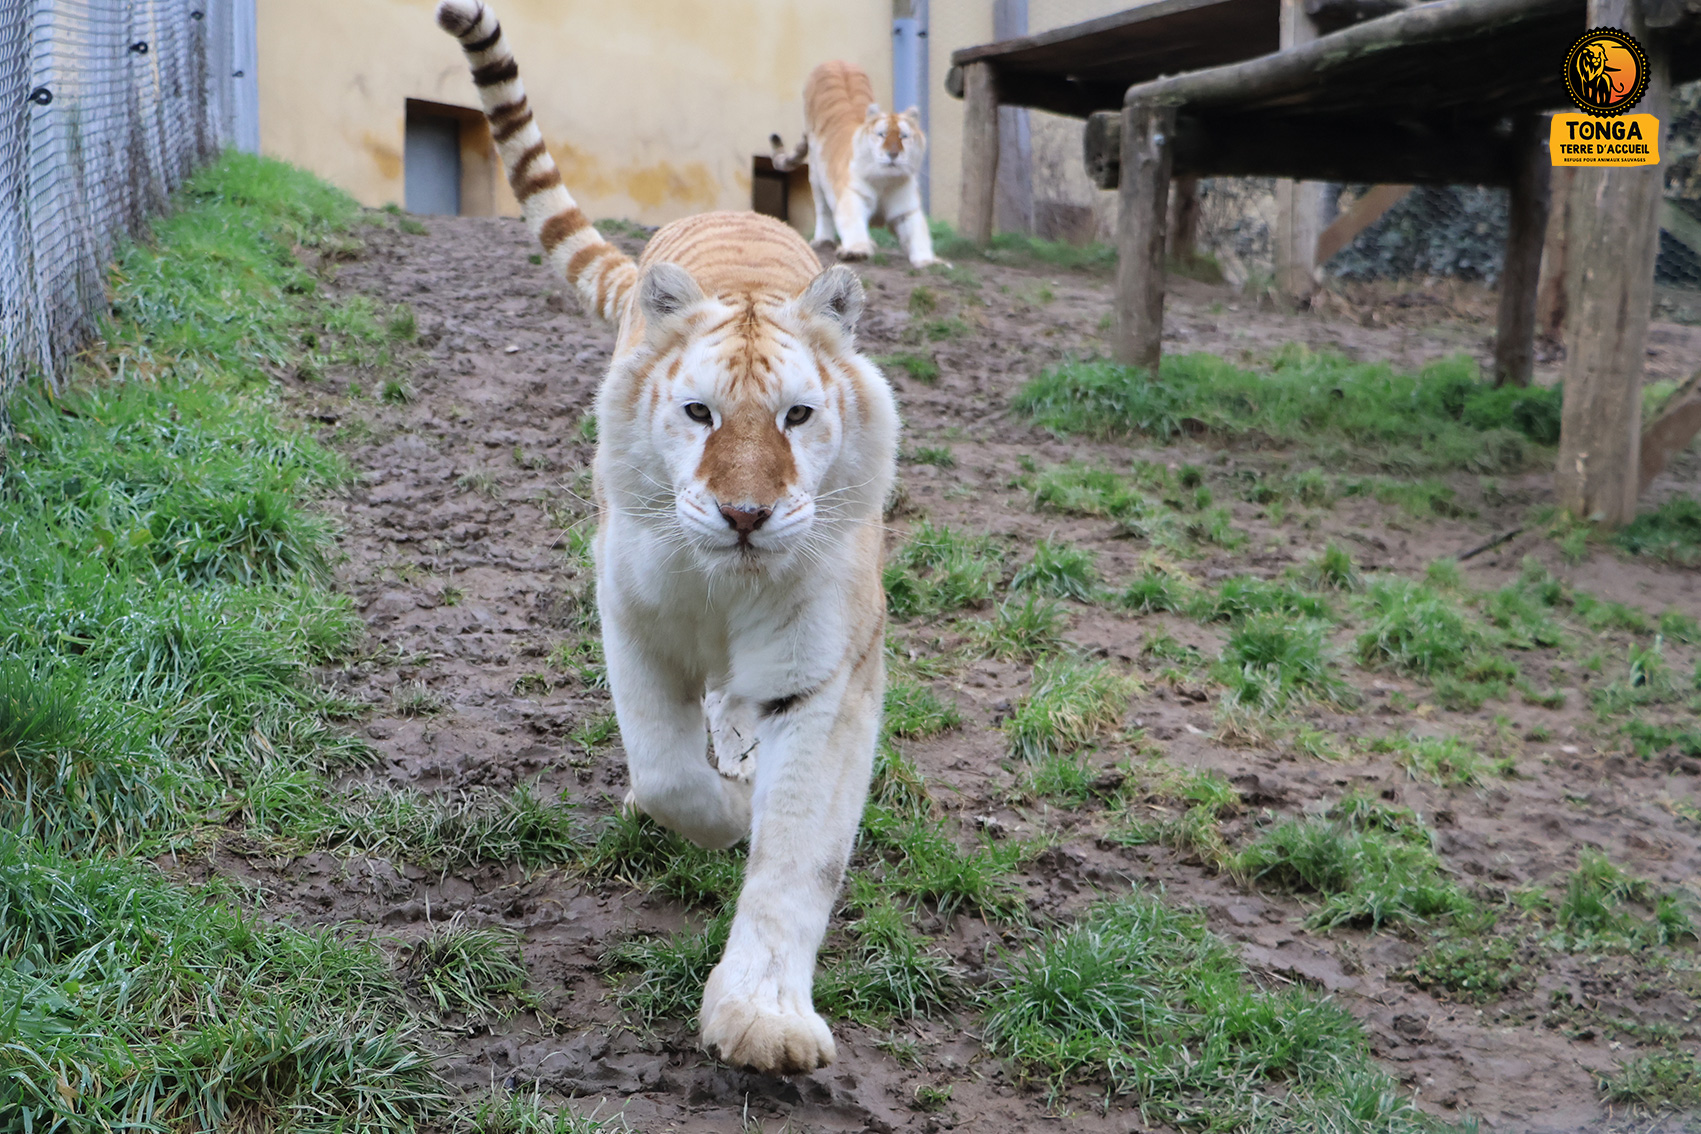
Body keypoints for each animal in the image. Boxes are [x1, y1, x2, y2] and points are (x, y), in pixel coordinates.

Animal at [436, 0, 899, 1078]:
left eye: (797, 417)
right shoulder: (632, 618)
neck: (731, 587)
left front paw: (763, 1021)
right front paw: (717, 815)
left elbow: (796, 858)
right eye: (698, 413)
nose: (745, 515)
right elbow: (669, 772)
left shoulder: (825, 676)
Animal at [770, 60, 938, 268]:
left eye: (903, 136)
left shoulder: (907, 209)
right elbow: (854, 224)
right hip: (815, 173)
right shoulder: (852, 196)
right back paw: (824, 240)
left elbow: (919, 233)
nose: (893, 154)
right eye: (882, 134)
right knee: (823, 210)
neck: (885, 180)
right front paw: (856, 251)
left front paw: (930, 261)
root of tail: (835, 61)